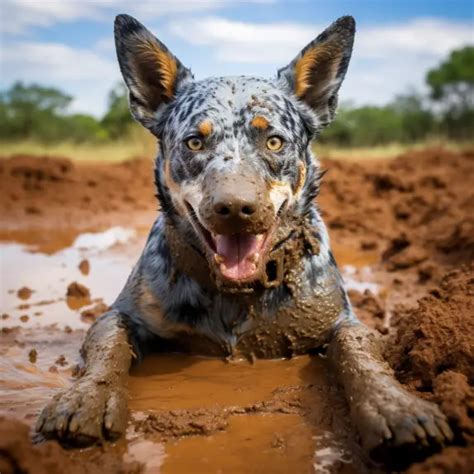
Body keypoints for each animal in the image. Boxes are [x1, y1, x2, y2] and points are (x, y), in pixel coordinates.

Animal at [36, 13, 452, 460]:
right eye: (194, 141)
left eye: (274, 141)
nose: (235, 209)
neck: (237, 294)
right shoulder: (121, 315)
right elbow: (107, 345)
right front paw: (85, 398)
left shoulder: (343, 321)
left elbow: (360, 351)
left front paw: (394, 405)